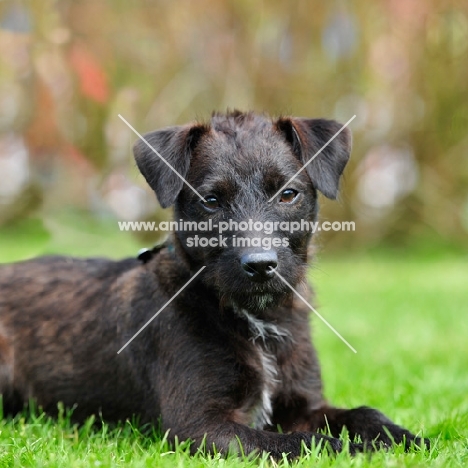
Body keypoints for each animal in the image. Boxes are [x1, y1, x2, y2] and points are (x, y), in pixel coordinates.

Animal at [0, 110, 428, 458]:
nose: (261, 265)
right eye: (210, 201)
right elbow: (304, 443)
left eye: (288, 194)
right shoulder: (200, 425)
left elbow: (362, 414)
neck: (257, 321)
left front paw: (405, 438)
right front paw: (355, 450)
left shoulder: (304, 405)